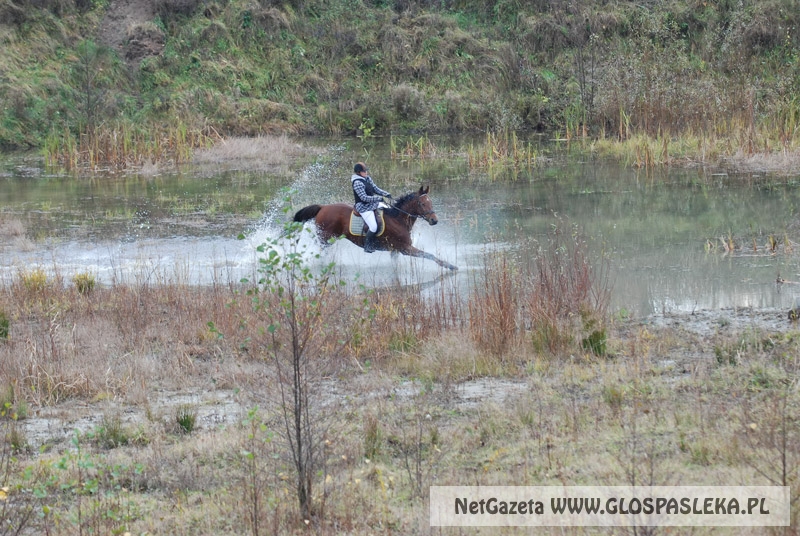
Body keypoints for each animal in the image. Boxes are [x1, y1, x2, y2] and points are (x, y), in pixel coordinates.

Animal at [292, 184, 456, 270]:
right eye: (422, 204)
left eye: (430, 202)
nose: (434, 220)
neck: (398, 219)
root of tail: (323, 207)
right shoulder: (405, 248)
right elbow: (430, 255)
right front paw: (451, 266)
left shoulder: (395, 251)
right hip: (325, 239)